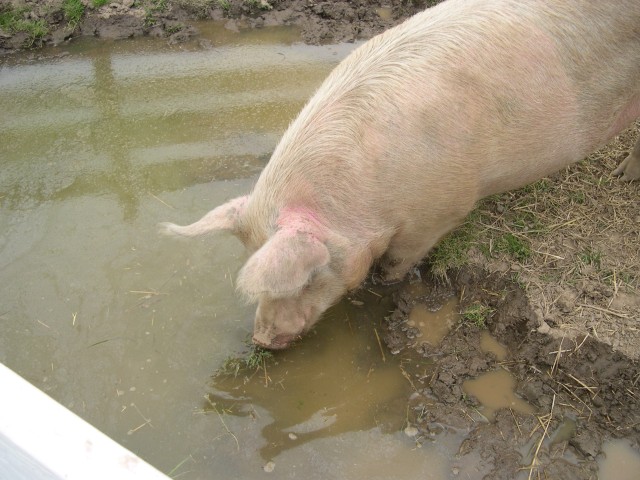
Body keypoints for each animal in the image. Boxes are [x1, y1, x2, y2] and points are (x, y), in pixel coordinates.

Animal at [161, 0, 640, 346]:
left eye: (308, 277)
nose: (261, 340)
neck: (364, 196)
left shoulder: (442, 209)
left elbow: (399, 260)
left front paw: (387, 283)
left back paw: (624, 176)